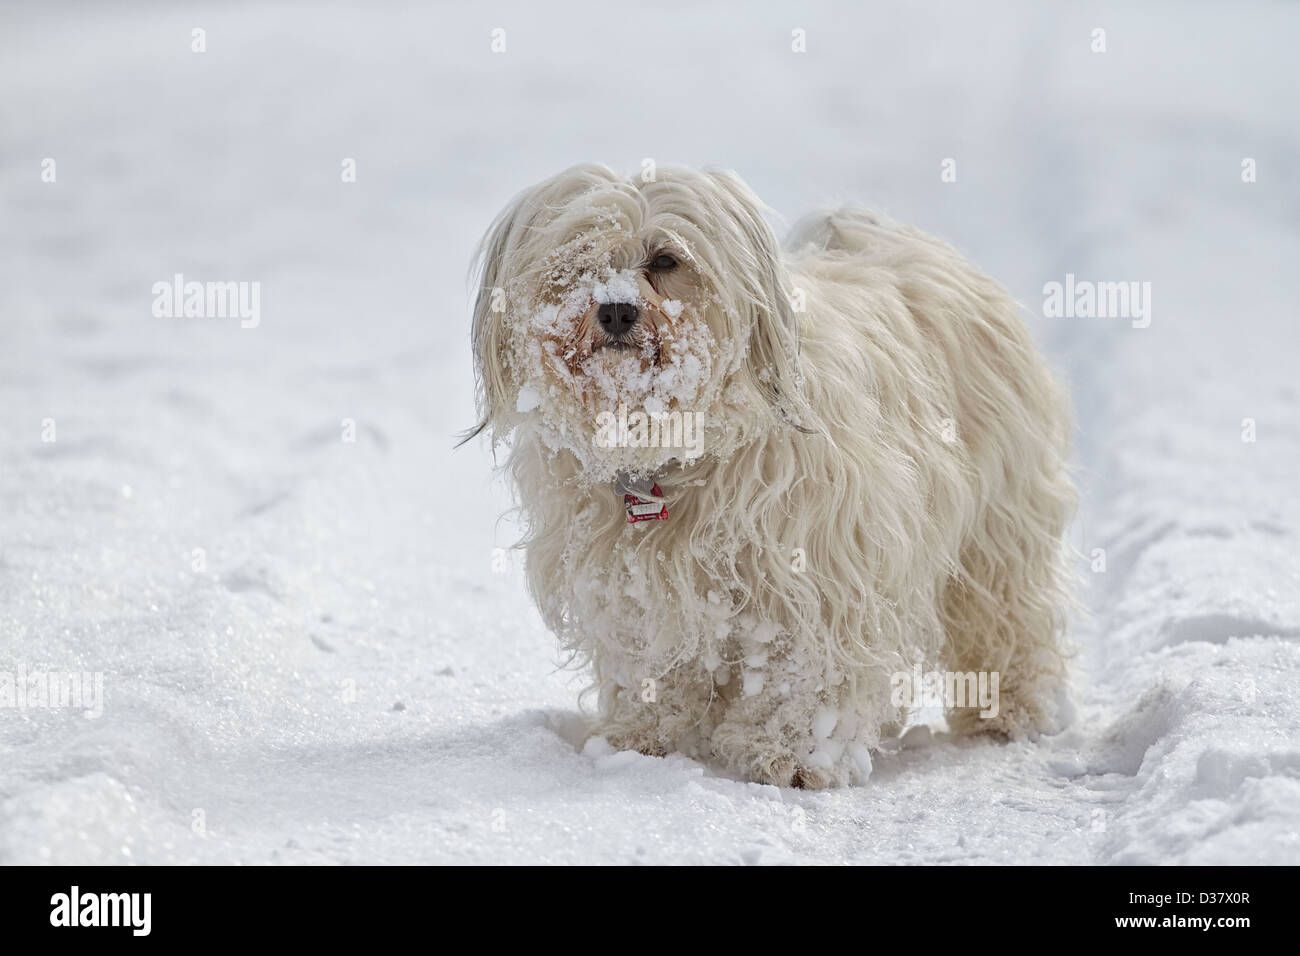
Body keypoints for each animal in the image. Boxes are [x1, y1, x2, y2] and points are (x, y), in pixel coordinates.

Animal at [467, 164, 1076, 790]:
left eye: (665, 259)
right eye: (578, 258)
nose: (614, 310)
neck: (678, 451)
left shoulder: (818, 570)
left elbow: (805, 672)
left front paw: (792, 756)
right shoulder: (628, 581)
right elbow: (650, 662)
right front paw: (641, 739)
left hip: (996, 521)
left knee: (1004, 615)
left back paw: (1009, 712)